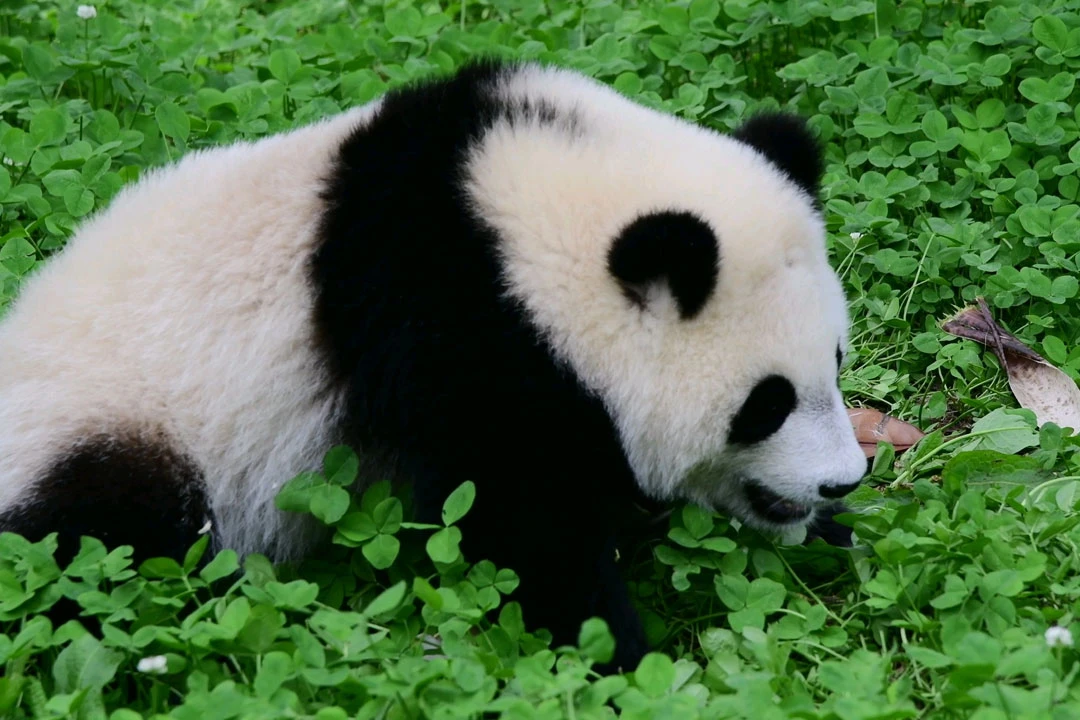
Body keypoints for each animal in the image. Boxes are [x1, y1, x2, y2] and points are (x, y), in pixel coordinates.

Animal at [0, 58, 867, 674]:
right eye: (766, 403)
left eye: (835, 361)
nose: (841, 481)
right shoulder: (448, 332)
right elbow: (523, 519)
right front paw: (619, 651)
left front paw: (834, 536)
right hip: (110, 436)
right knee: (109, 538)